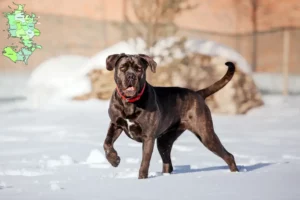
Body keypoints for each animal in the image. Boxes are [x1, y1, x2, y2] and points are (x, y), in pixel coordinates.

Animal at [103, 52, 239, 178]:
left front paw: (142, 178)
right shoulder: (115, 124)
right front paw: (114, 160)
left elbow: (145, 162)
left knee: (228, 156)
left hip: (205, 135)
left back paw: (235, 173)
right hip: (164, 141)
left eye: (139, 69)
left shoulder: (148, 137)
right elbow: (107, 142)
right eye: (123, 68)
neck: (130, 102)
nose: (131, 76)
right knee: (168, 162)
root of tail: (198, 94)